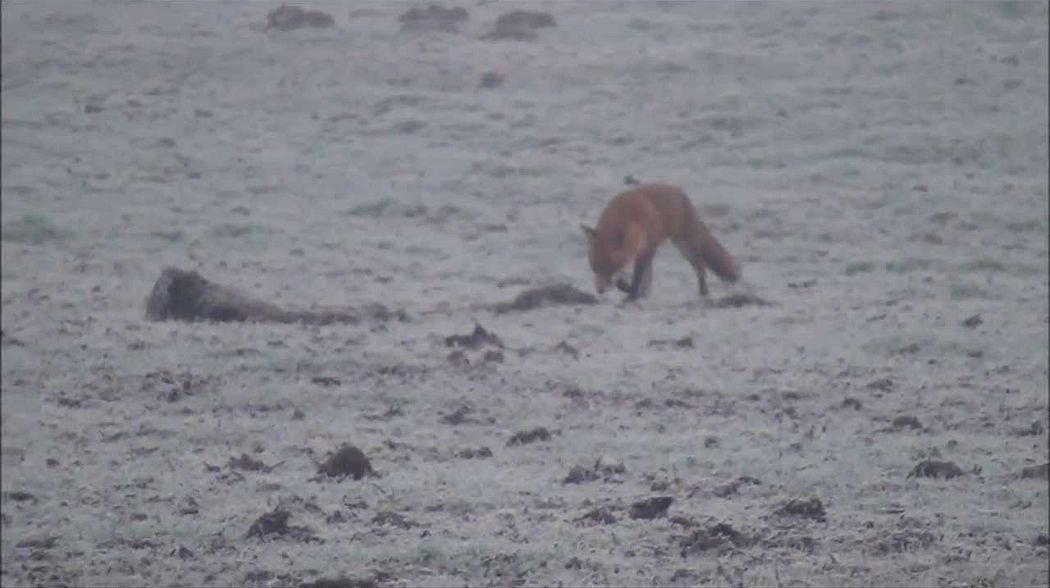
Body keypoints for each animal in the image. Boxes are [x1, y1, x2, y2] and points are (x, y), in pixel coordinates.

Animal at [580, 183, 740, 302]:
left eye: (611, 267)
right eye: (594, 267)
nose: (600, 290)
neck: (628, 216)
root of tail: (681, 193)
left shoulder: (646, 248)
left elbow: (638, 277)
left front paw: (632, 295)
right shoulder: (642, 250)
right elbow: (645, 279)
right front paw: (637, 293)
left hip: (687, 248)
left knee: (701, 269)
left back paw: (703, 293)